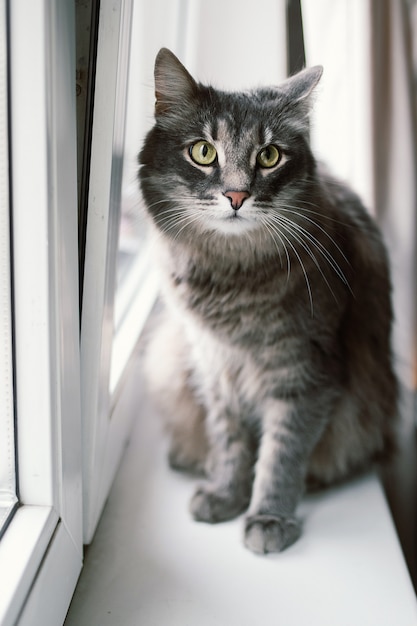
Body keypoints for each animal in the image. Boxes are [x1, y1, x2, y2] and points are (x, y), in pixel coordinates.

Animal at [140, 48, 396, 552]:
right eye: (203, 152)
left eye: (269, 155)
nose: (237, 195)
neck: (231, 277)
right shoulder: (213, 363)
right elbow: (230, 441)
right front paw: (225, 493)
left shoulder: (303, 371)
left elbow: (281, 452)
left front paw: (268, 517)